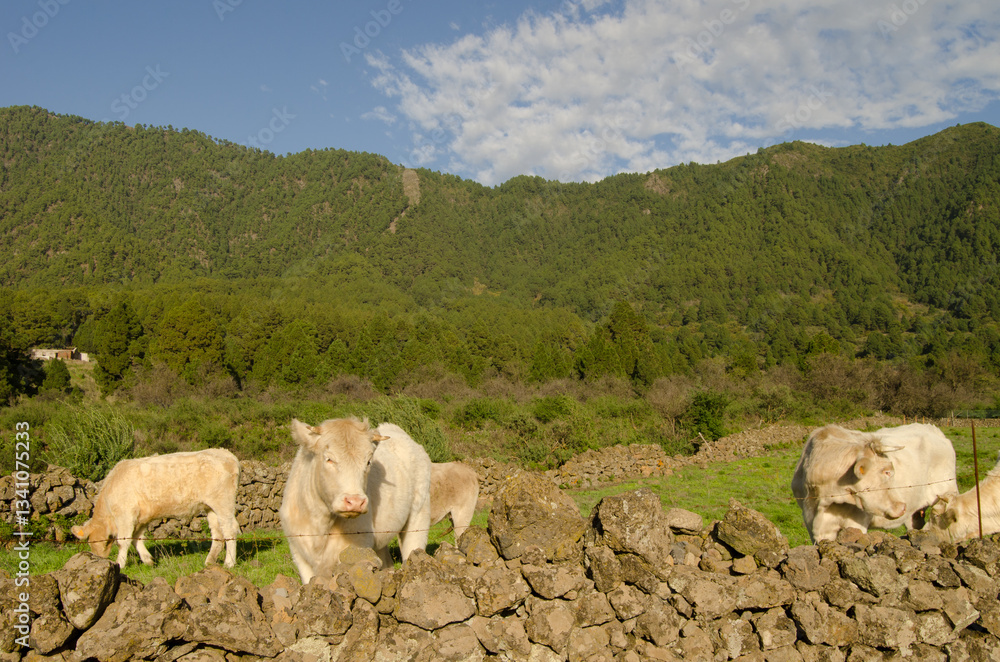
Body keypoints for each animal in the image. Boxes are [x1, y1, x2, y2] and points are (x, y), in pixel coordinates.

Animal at [71, 448, 240, 568]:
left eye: (91, 542)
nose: (99, 560)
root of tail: (226, 453)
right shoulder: (141, 518)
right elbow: (137, 539)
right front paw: (148, 560)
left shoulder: (125, 515)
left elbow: (123, 541)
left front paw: (120, 564)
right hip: (210, 507)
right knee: (217, 532)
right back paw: (209, 561)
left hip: (223, 502)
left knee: (230, 529)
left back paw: (229, 563)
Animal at [279, 417, 432, 583]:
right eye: (329, 459)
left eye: (368, 462)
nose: (355, 502)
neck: (320, 523)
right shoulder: (298, 553)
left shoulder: (357, 549)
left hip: (419, 515)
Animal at [791, 423, 957, 542]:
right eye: (887, 472)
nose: (902, 507)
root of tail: (932, 429)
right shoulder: (812, 524)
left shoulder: (856, 523)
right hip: (915, 514)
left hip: (946, 493)